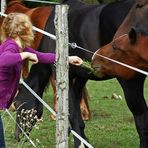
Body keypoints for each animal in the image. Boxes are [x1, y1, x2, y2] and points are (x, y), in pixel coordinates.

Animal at [14, 0, 148, 147]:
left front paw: (80, 143)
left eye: (17, 104)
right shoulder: (80, 78)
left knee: (141, 119)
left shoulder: (65, 78)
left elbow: (73, 114)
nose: (17, 136)